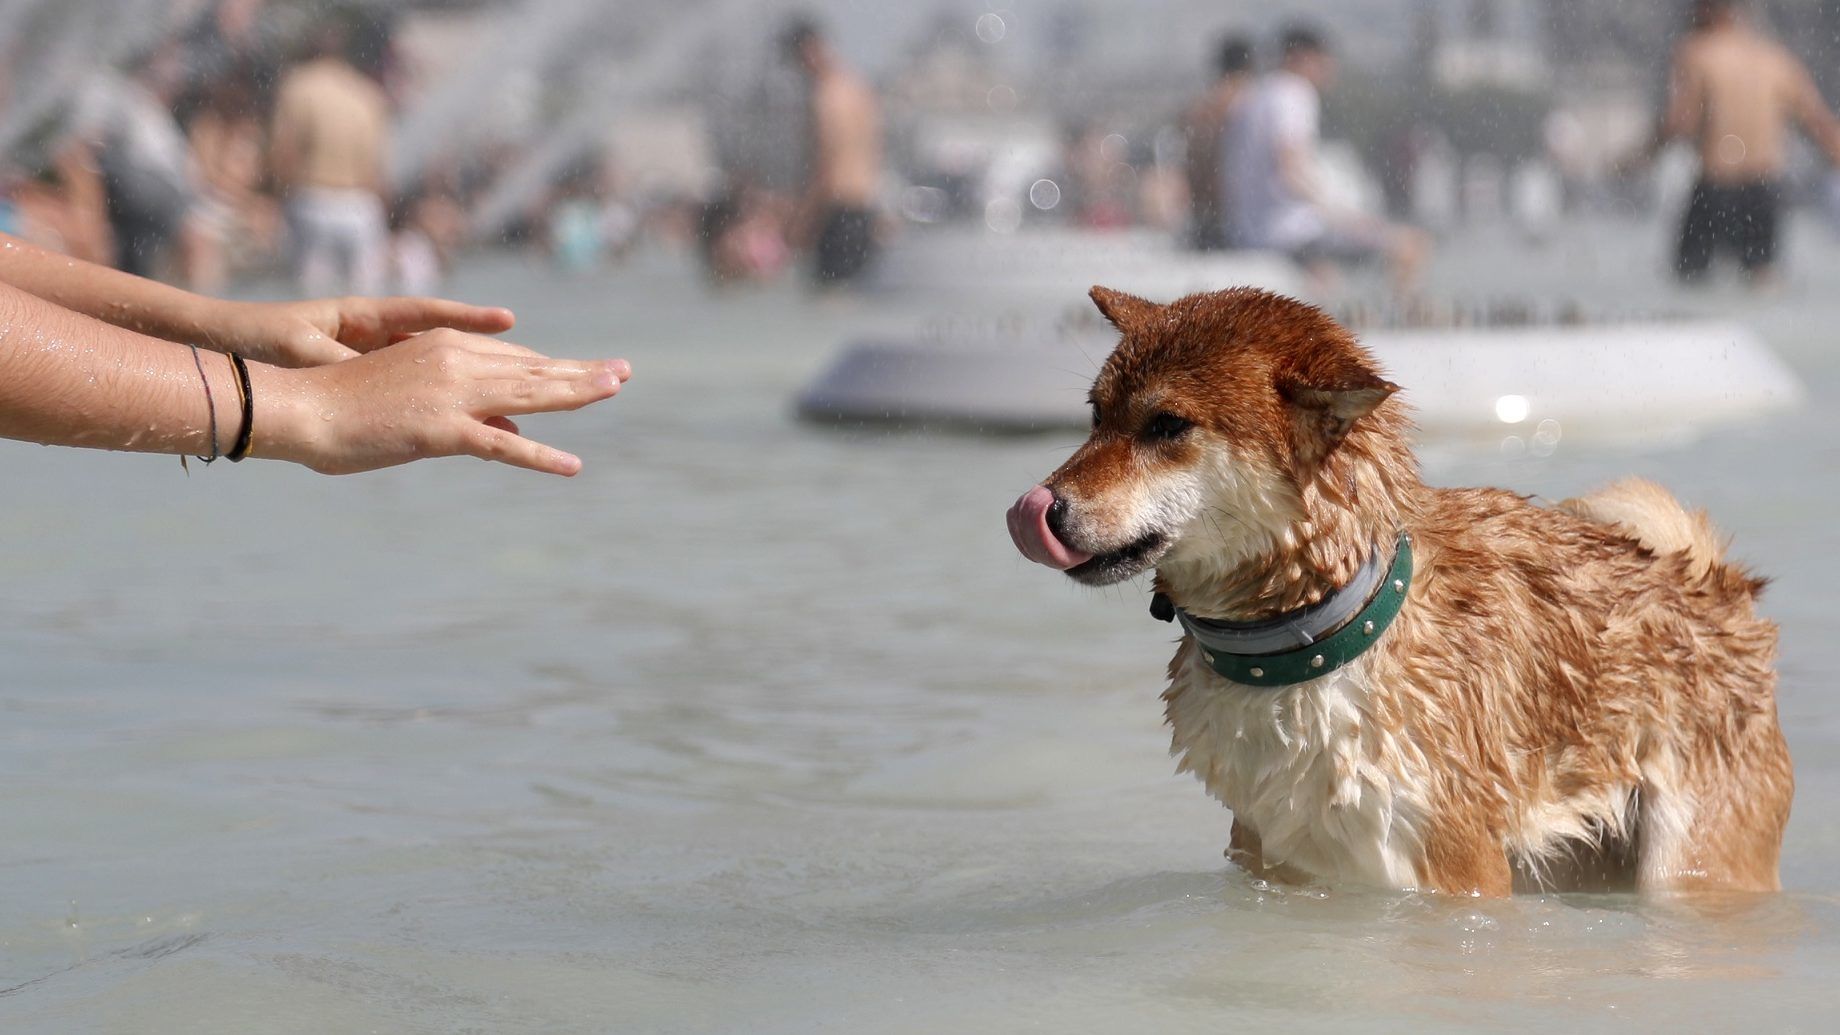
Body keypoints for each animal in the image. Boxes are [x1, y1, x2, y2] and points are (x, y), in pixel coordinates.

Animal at [1000, 285, 1788, 891]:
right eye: (1096, 415)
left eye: (1167, 425)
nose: (1040, 508)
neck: (1318, 637)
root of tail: (1720, 588)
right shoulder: (1275, 858)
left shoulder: (1454, 873)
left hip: (1691, 864)